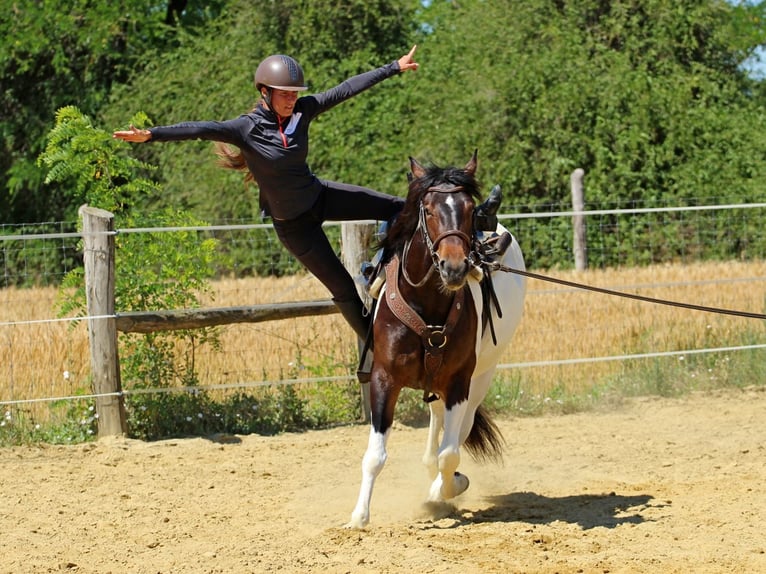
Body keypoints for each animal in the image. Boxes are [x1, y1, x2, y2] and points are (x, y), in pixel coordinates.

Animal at [347, 150, 527, 528]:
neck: (427, 304)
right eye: (428, 209)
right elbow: (376, 455)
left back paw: (440, 488)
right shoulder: (384, 379)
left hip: (482, 375)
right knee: (436, 420)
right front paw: (359, 516)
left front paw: (446, 490)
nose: (454, 267)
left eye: (469, 208)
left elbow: (451, 455)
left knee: (459, 429)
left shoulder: (459, 381)